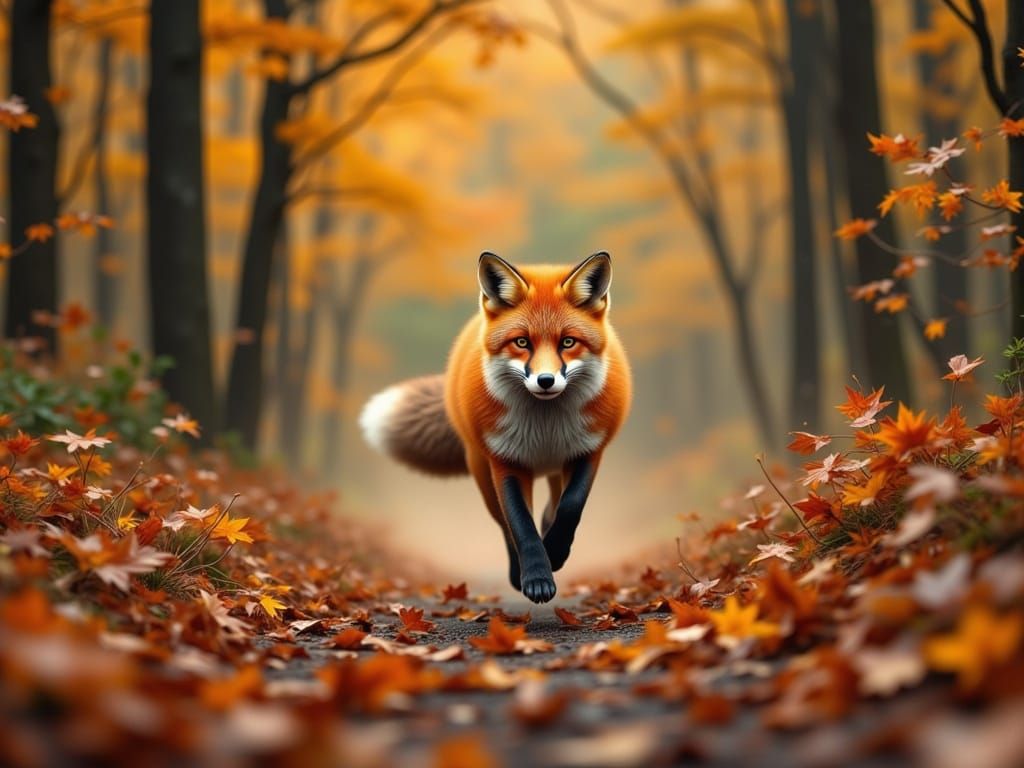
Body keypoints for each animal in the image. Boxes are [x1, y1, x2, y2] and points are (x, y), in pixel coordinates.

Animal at [359, 252, 631, 603]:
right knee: (505, 523)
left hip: (557, 465)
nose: (546, 380)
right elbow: (520, 526)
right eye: (522, 342)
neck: (545, 427)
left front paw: (556, 552)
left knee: (553, 503)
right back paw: (518, 571)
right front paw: (536, 577)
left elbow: (570, 507)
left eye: (568, 342)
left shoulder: (589, 451)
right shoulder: (506, 460)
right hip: (483, 472)